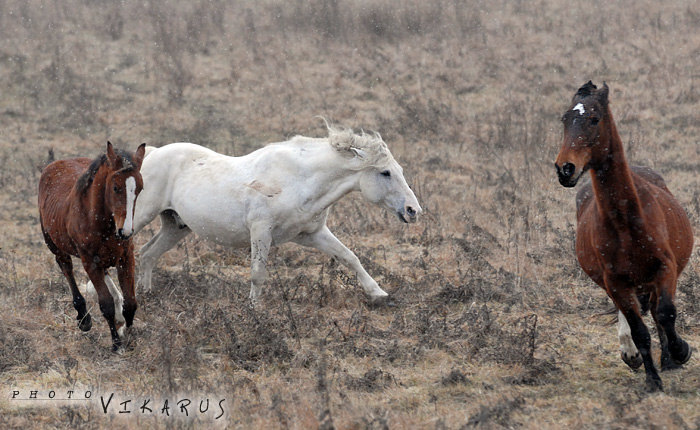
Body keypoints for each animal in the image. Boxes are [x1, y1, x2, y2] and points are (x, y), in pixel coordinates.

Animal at [39, 143, 146, 352]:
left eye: (139, 188)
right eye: (115, 187)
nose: (126, 232)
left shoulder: (126, 257)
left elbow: (131, 302)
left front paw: (127, 334)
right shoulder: (90, 263)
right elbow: (106, 304)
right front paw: (116, 344)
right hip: (53, 243)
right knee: (66, 268)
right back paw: (83, 318)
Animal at [130, 127, 422, 302]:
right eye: (385, 173)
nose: (413, 211)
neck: (299, 180)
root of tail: (152, 154)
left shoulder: (312, 234)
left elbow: (349, 257)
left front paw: (379, 293)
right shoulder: (261, 231)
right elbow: (258, 273)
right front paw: (253, 310)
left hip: (176, 227)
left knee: (147, 254)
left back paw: (145, 293)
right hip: (139, 217)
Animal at [556, 81, 692, 394]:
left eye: (594, 119)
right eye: (565, 120)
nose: (565, 169)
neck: (626, 223)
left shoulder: (665, 268)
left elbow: (666, 313)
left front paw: (680, 352)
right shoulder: (616, 282)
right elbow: (640, 330)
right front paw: (652, 379)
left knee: (655, 310)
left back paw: (668, 358)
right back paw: (633, 355)